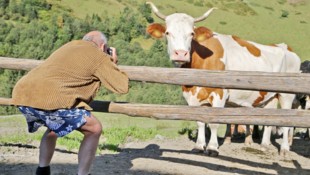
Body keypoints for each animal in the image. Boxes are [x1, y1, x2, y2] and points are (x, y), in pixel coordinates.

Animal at [147, 1, 302, 156]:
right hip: (270, 96)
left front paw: (212, 148)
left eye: (191, 33)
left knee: (286, 122)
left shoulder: (219, 94)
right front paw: (199, 146)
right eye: (168, 33)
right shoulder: (192, 96)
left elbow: (214, 123)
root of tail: (285, 47)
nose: (180, 54)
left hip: (287, 95)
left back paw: (284, 148)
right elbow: (200, 122)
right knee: (269, 119)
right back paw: (264, 145)